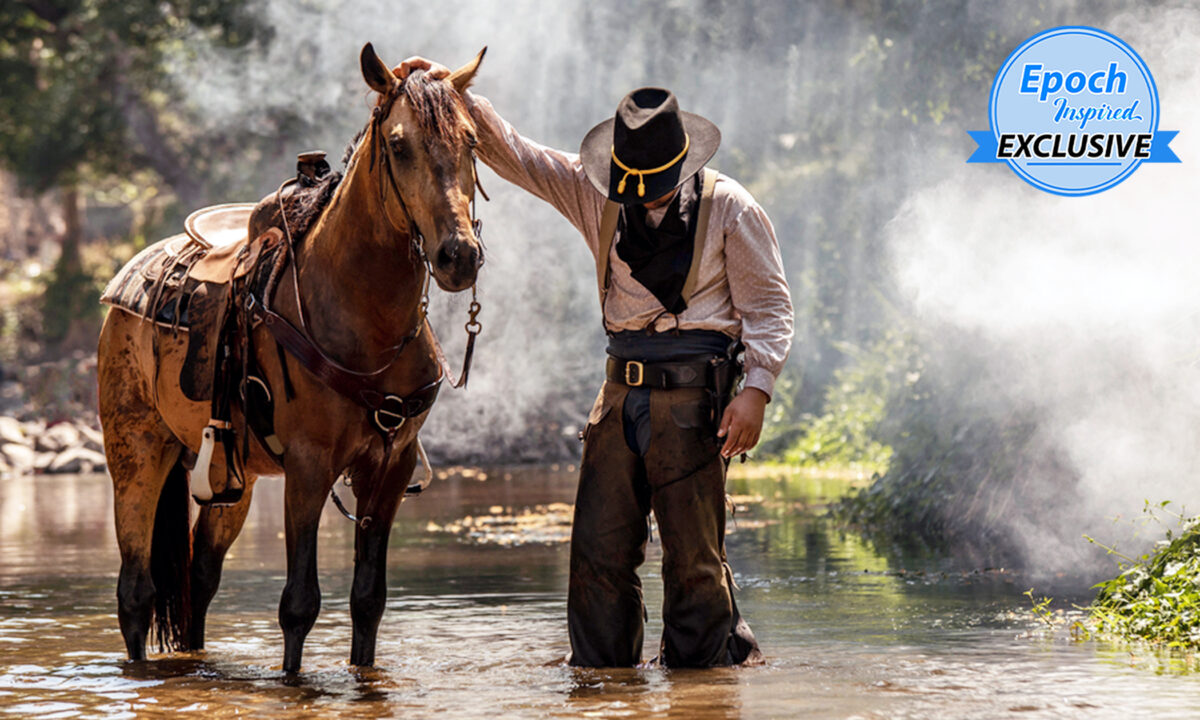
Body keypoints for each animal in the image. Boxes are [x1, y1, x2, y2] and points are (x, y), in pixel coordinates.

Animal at [96, 43, 484, 676]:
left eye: (472, 141)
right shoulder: (309, 466)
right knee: (135, 591)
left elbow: (368, 601)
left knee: (200, 579)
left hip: (230, 476)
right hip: (136, 452)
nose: (460, 256)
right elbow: (299, 603)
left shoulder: (390, 466)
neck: (361, 315)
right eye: (399, 145)